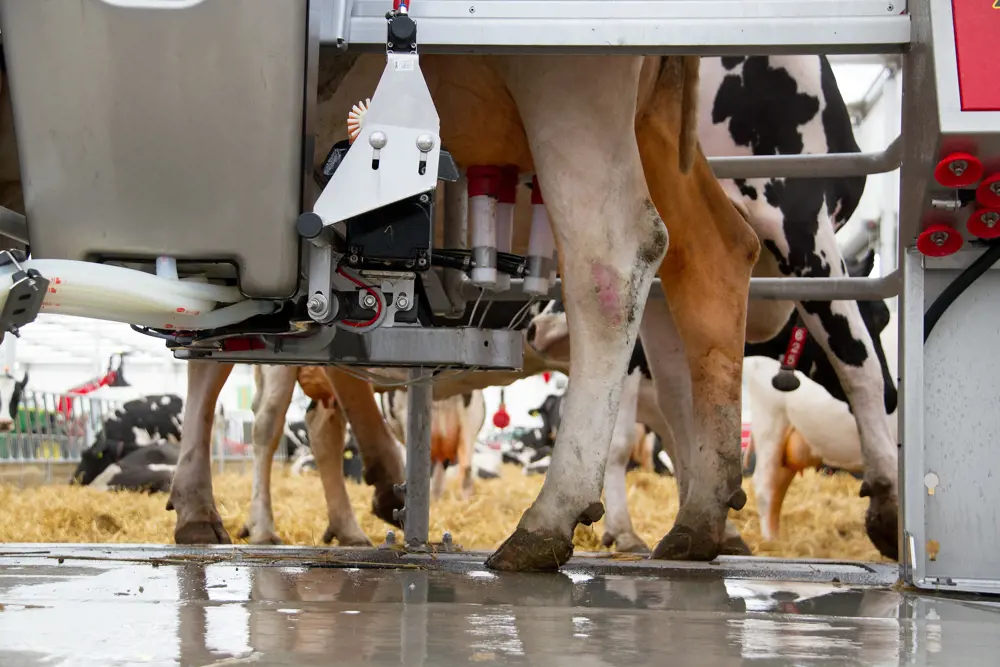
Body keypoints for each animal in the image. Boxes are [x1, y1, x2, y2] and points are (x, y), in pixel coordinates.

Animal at [164, 51, 760, 576]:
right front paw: (196, 504)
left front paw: (194, 506)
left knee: (614, 258)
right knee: (716, 252)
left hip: (569, 87)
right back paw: (701, 519)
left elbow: (206, 345)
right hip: (655, 123)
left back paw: (545, 521)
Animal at [524, 54, 900, 560]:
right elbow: (853, 353)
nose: (896, 397)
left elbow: (683, 402)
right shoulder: (800, 206)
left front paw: (704, 522)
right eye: (882, 317)